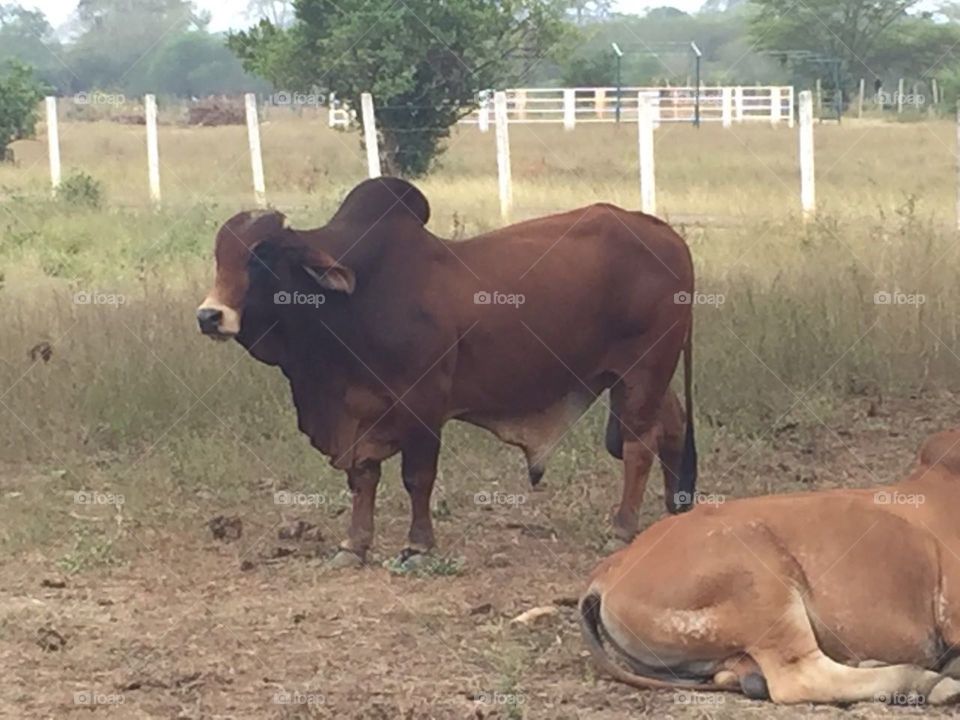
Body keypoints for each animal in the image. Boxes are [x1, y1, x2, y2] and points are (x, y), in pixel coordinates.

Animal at [196, 177, 697, 566]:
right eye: (220, 257)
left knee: (639, 446)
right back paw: (677, 513)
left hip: (643, 370)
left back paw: (622, 528)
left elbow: (417, 478)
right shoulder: (358, 414)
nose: (209, 316)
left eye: (261, 257)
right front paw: (354, 545)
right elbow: (363, 478)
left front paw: (418, 547)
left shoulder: (422, 403)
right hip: (644, 377)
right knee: (672, 427)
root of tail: (666, 234)